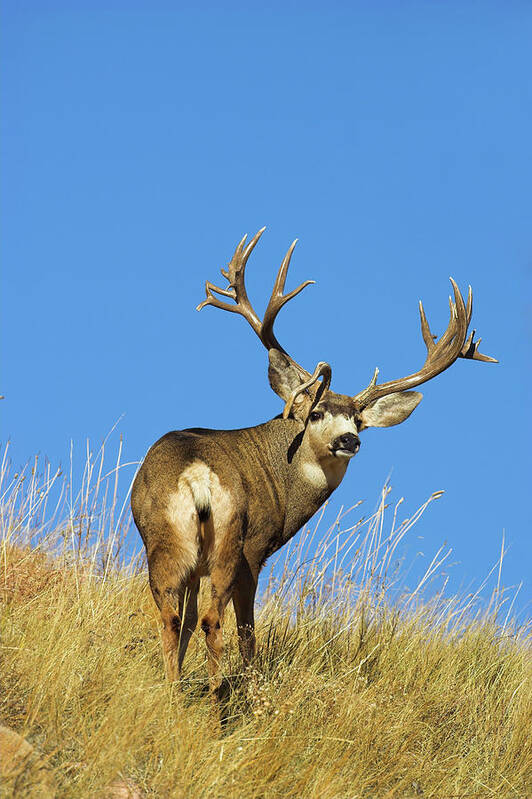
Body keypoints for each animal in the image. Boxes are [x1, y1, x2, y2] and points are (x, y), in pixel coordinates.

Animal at [131, 228, 496, 696]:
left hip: (175, 541)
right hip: (224, 544)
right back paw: (217, 698)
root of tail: (197, 476)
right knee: (214, 621)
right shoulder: (256, 550)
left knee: (178, 617)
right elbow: (244, 630)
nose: (349, 440)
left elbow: (193, 622)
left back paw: (182, 693)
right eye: (317, 412)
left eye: (359, 419)